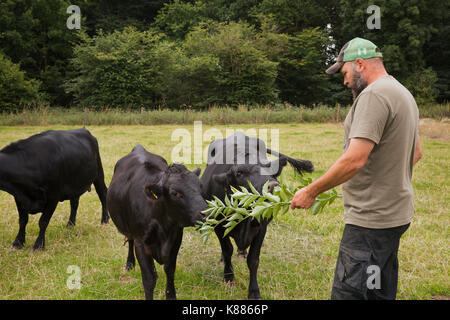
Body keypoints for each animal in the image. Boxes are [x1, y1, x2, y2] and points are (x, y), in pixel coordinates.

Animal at [108, 145, 207, 300]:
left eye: (200, 187)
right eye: (175, 193)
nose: (206, 213)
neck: (163, 226)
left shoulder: (176, 240)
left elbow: (170, 270)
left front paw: (171, 296)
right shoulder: (141, 243)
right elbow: (149, 278)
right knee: (129, 240)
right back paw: (130, 263)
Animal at [200, 131, 312, 298]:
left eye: (271, 169)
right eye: (239, 173)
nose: (273, 185)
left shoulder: (261, 228)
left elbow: (253, 260)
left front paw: (253, 291)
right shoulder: (219, 226)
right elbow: (227, 250)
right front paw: (229, 278)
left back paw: (242, 252)